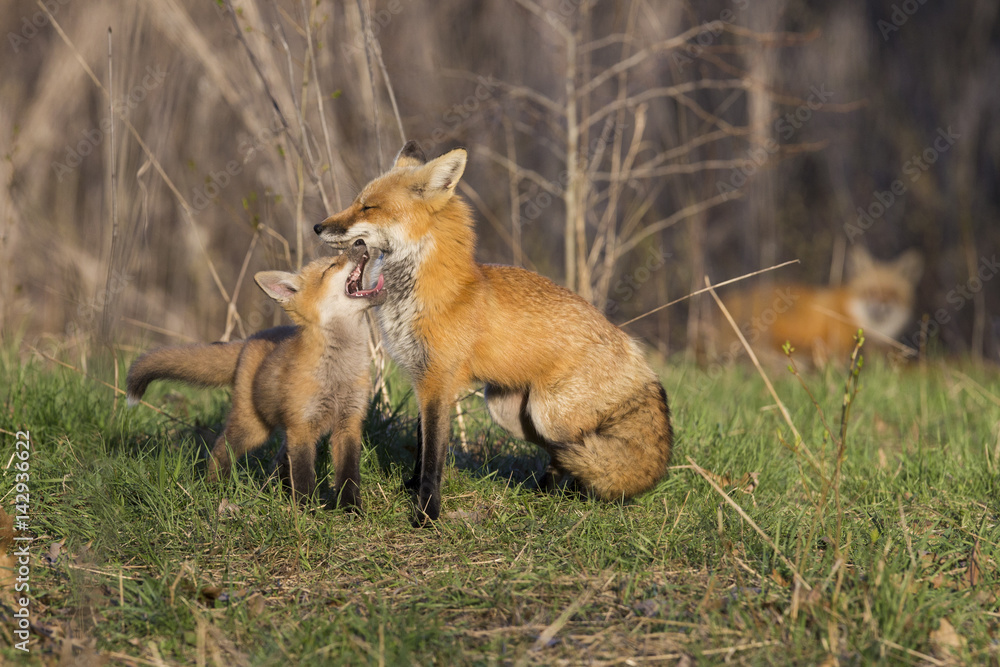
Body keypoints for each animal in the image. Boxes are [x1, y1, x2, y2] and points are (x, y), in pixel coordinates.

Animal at [127, 243, 384, 508]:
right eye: (331, 266)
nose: (360, 242)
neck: (338, 375)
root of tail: (248, 341)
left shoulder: (349, 422)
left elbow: (348, 473)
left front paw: (350, 508)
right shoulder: (301, 427)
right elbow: (304, 474)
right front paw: (306, 509)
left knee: (279, 460)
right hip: (253, 428)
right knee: (221, 450)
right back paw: (215, 488)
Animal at [312, 142, 672, 528]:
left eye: (369, 207)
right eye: (357, 201)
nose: (317, 226)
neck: (417, 294)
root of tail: (635, 353)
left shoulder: (438, 382)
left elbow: (433, 459)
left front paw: (426, 514)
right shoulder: (424, 379)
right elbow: (422, 448)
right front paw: (409, 487)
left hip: (549, 415)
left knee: (578, 456)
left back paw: (570, 494)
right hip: (509, 411)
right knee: (563, 457)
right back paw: (545, 492)